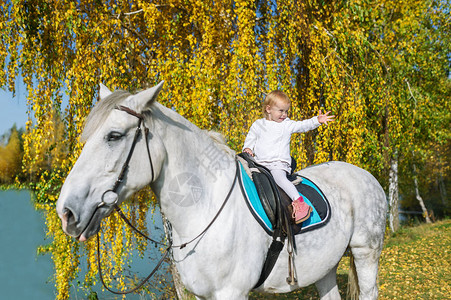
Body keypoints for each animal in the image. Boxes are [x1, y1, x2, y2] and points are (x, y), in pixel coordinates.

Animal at [56, 81, 388, 298]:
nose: (66, 211)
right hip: (326, 266)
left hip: (366, 253)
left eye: (113, 135)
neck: (206, 208)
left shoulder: (231, 292)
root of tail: (366, 176)